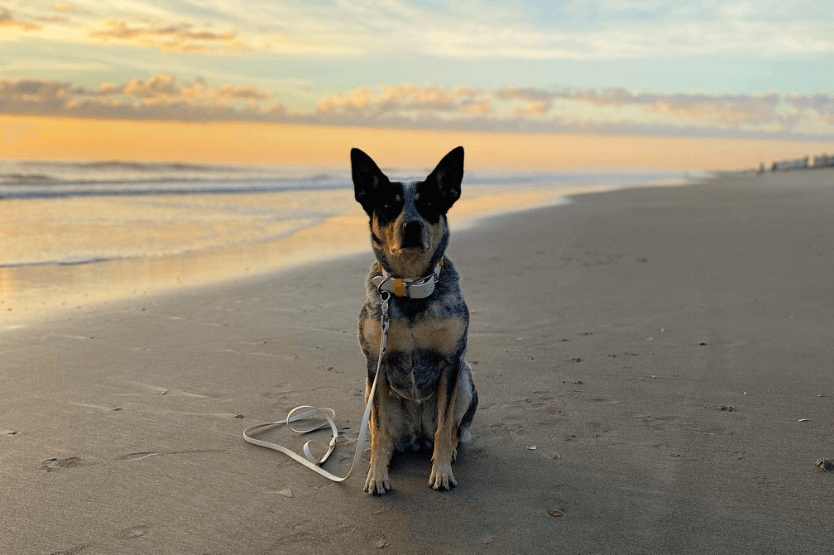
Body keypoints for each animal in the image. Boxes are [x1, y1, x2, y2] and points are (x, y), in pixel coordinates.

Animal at [350, 147, 478, 496]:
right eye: (387, 206)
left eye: (429, 205)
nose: (412, 226)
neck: (409, 287)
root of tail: (416, 435)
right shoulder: (374, 364)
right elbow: (378, 430)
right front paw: (377, 475)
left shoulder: (451, 362)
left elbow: (445, 428)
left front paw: (442, 472)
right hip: (369, 392)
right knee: (384, 434)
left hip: (465, 379)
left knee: (450, 430)